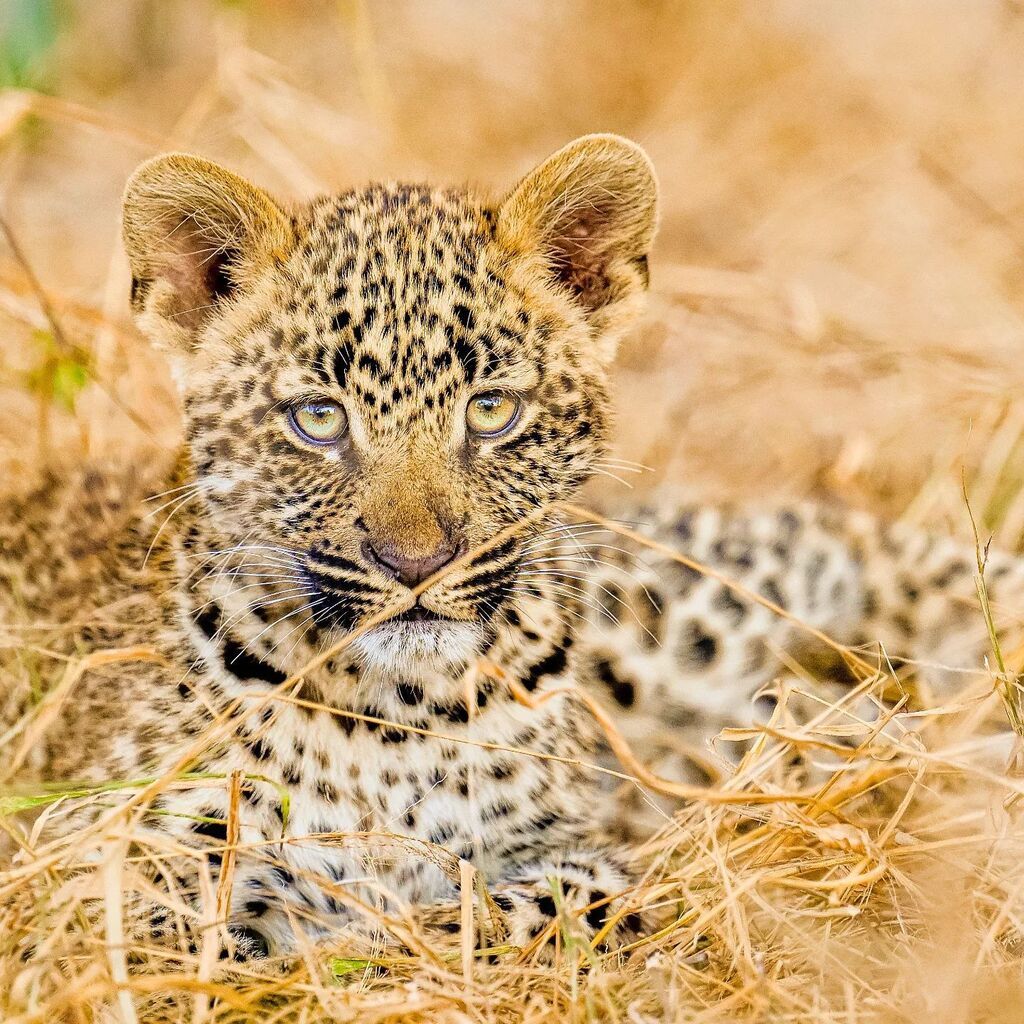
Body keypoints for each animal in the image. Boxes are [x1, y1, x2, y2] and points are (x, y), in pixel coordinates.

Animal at [2, 134, 1022, 963]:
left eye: (491, 410)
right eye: (318, 420)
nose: (416, 565)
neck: (401, 724)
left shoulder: (577, 850)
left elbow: (514, 911)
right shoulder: (91, 852)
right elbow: (158, 923)